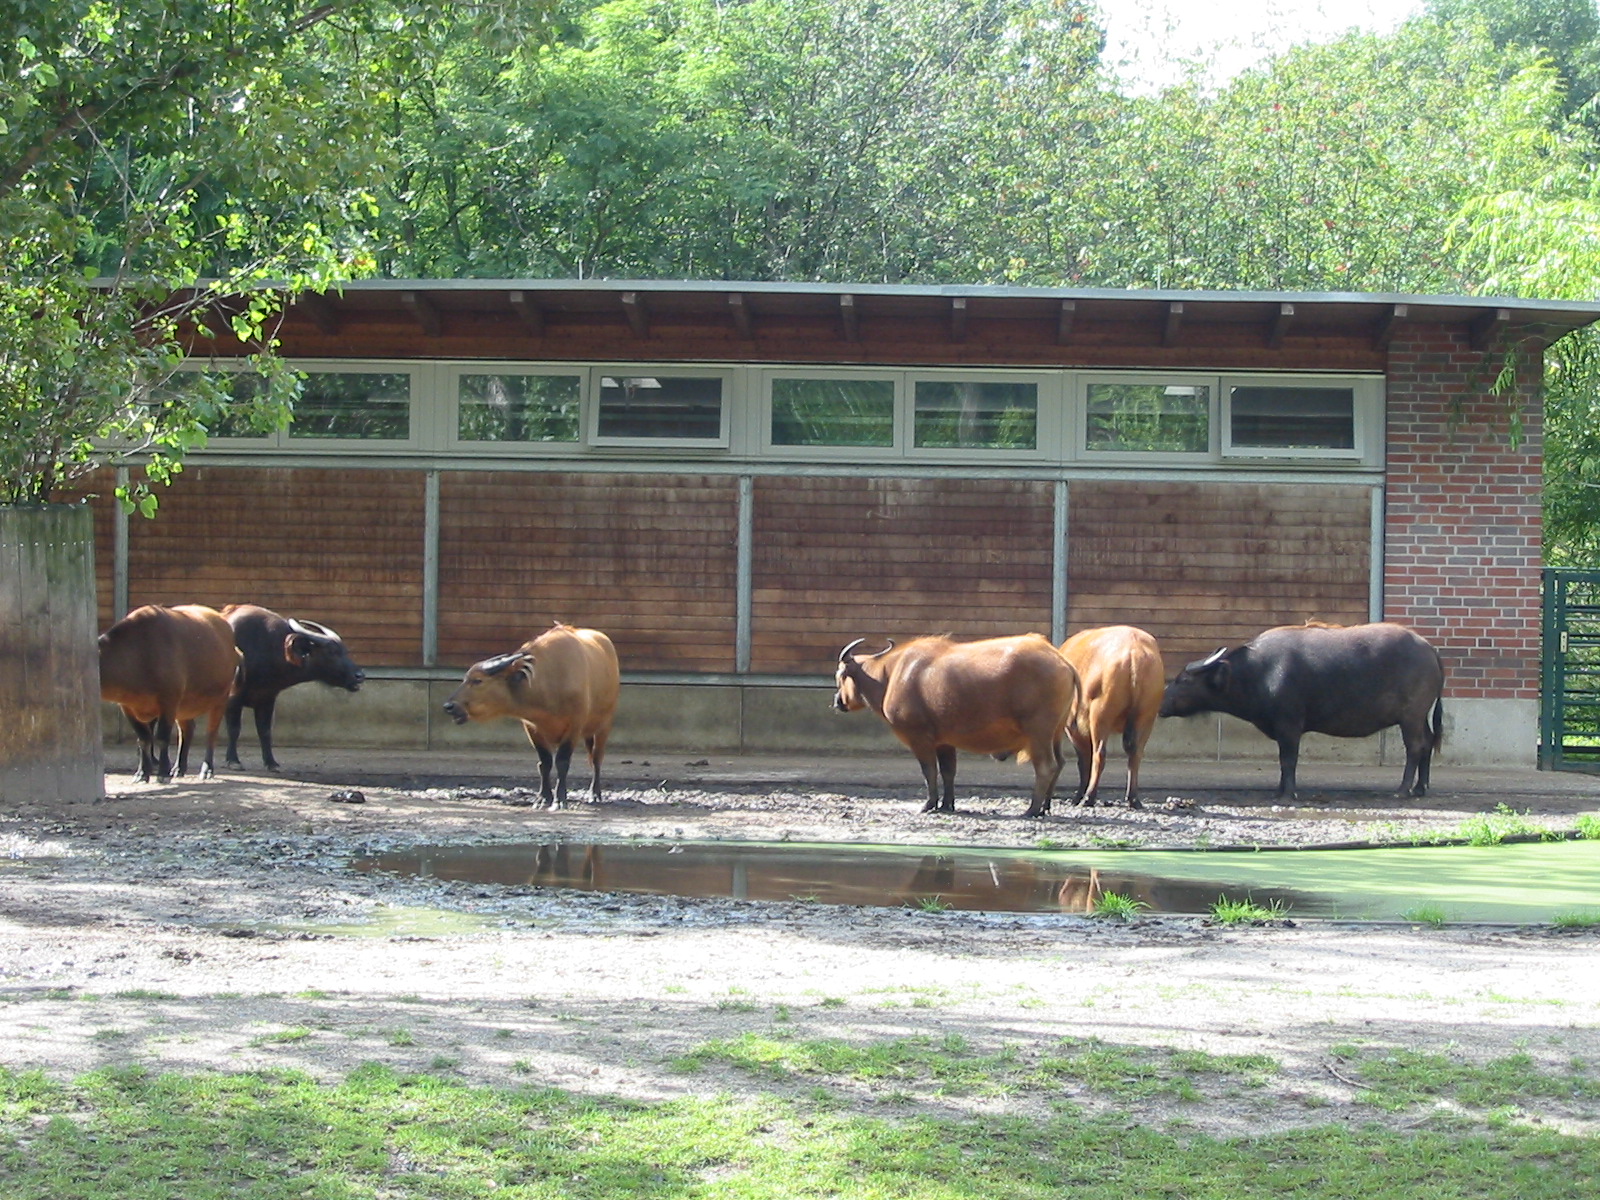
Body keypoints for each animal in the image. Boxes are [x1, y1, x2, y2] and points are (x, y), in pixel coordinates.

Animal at [221, 604, 365, 770]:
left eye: (345, 651)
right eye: (331, 652)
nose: (359, 675)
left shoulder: (267, 699)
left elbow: (265, 731)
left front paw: (271, 763)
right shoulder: (233, 698)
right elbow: (234, 730)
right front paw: (233, 761)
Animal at [443, 623, 620, 808]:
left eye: (478, 680)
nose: (449, 706)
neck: (548, 682)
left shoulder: (574, 727)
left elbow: (562, 762)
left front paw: (560, 799)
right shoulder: (532, 728)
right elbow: (545, 762)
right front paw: (543, 798)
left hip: (604, 726)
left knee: (596, 759)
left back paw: (595, 793)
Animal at [833, 633, 1079, 817]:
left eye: (841, 676)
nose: (837, 701)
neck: (892, 673)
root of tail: (1061, 660)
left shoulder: (919, 738)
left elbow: (929, 771)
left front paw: (929, 804)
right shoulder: (944, 742)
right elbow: (948, 771)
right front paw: (947, 804)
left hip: (1038, 733)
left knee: (1046, 766)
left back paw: (1032, 809)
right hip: (1055, 734)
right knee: (1059, 763)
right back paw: (1045, 806)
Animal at [1158, 621, 1444, 800]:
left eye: (1183, 679)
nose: (1161, 703)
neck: (1258, 672)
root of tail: (1429, 648)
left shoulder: (1289, 725)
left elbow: (1289, 759)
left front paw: (1288, 793)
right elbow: (1282, 761)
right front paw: (1278, 790)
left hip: (1411, 716)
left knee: (1415, 747)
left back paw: (1403, 790)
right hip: (1421, 716)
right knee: (1429, 741)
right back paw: (1420, 788)